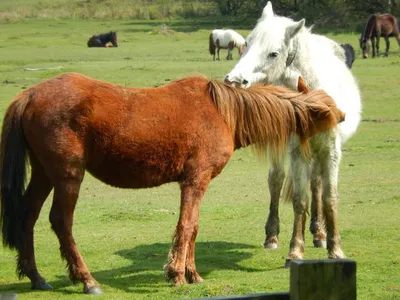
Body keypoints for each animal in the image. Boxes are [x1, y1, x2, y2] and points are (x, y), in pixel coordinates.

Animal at [0, 72, 344, 292]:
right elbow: (186, 226)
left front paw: (192, 274)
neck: (223, 112)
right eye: (325, 110)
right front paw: (177, 274)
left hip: (44, 174)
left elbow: (193, 227)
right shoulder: (195, 181)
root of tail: (28, 95)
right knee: (61, 221)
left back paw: (36, 277)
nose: (343, 116)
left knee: (28, 216)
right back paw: (87, 280)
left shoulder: (196, 183)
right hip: (68, 176)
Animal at [225, 1, 362, 264]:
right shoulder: (297, 150)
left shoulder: (331, 150)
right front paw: (295, 251)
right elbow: (299, 199)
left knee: (316, 183)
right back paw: (272, 237)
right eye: (246, 43)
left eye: (273, 53)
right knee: (276, 180)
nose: (234, 80)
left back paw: (319, 233)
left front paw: (335, 248)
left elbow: (329, 197)